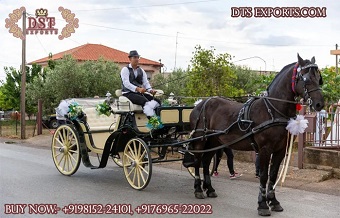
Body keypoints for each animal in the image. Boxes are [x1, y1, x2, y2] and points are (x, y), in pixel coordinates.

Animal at [189, 54, 324, 216]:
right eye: (306, 79)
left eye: (319, 78)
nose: (320, 104)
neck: (272, 110)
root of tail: (200, 103)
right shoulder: (265, 149)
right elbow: (264, 176)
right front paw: (263, 205)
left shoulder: (280, 150)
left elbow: (273, 175)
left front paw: (274, 202)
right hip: (200, 140)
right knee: (197, 161)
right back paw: (198, 189)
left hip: (215, 141)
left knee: (206, 161)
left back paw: (209, 189)